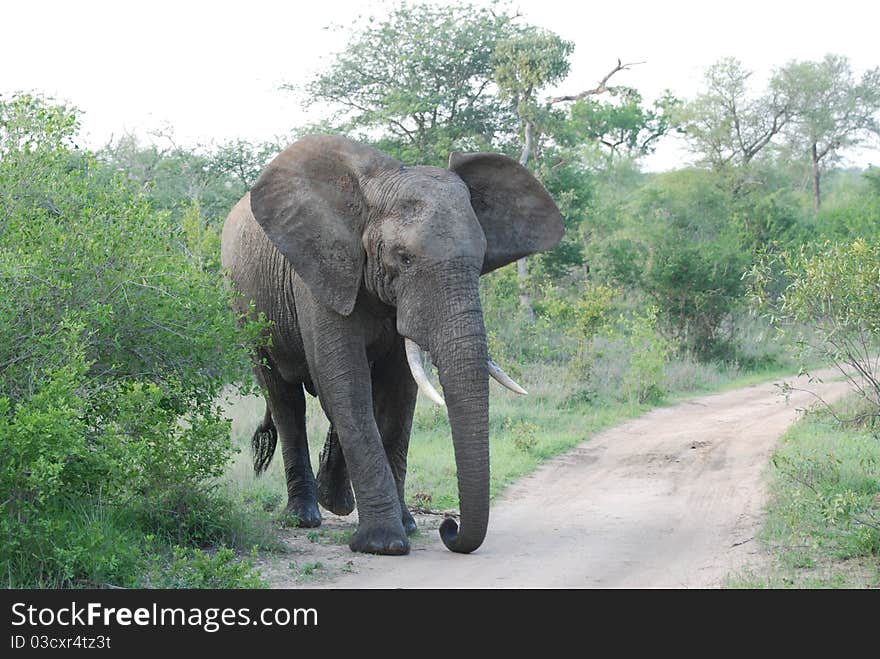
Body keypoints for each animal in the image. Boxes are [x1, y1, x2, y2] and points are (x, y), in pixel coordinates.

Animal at [220, 135, 564, 556]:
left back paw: (337, 501)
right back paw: (304, 517)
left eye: (481, 258)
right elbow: (344, 382)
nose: (449, 527)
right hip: (245, 309)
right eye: (404, 258)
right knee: (285, 400)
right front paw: (383, 544)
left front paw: (408, 526)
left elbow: (399, 393)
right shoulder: (321, 270)